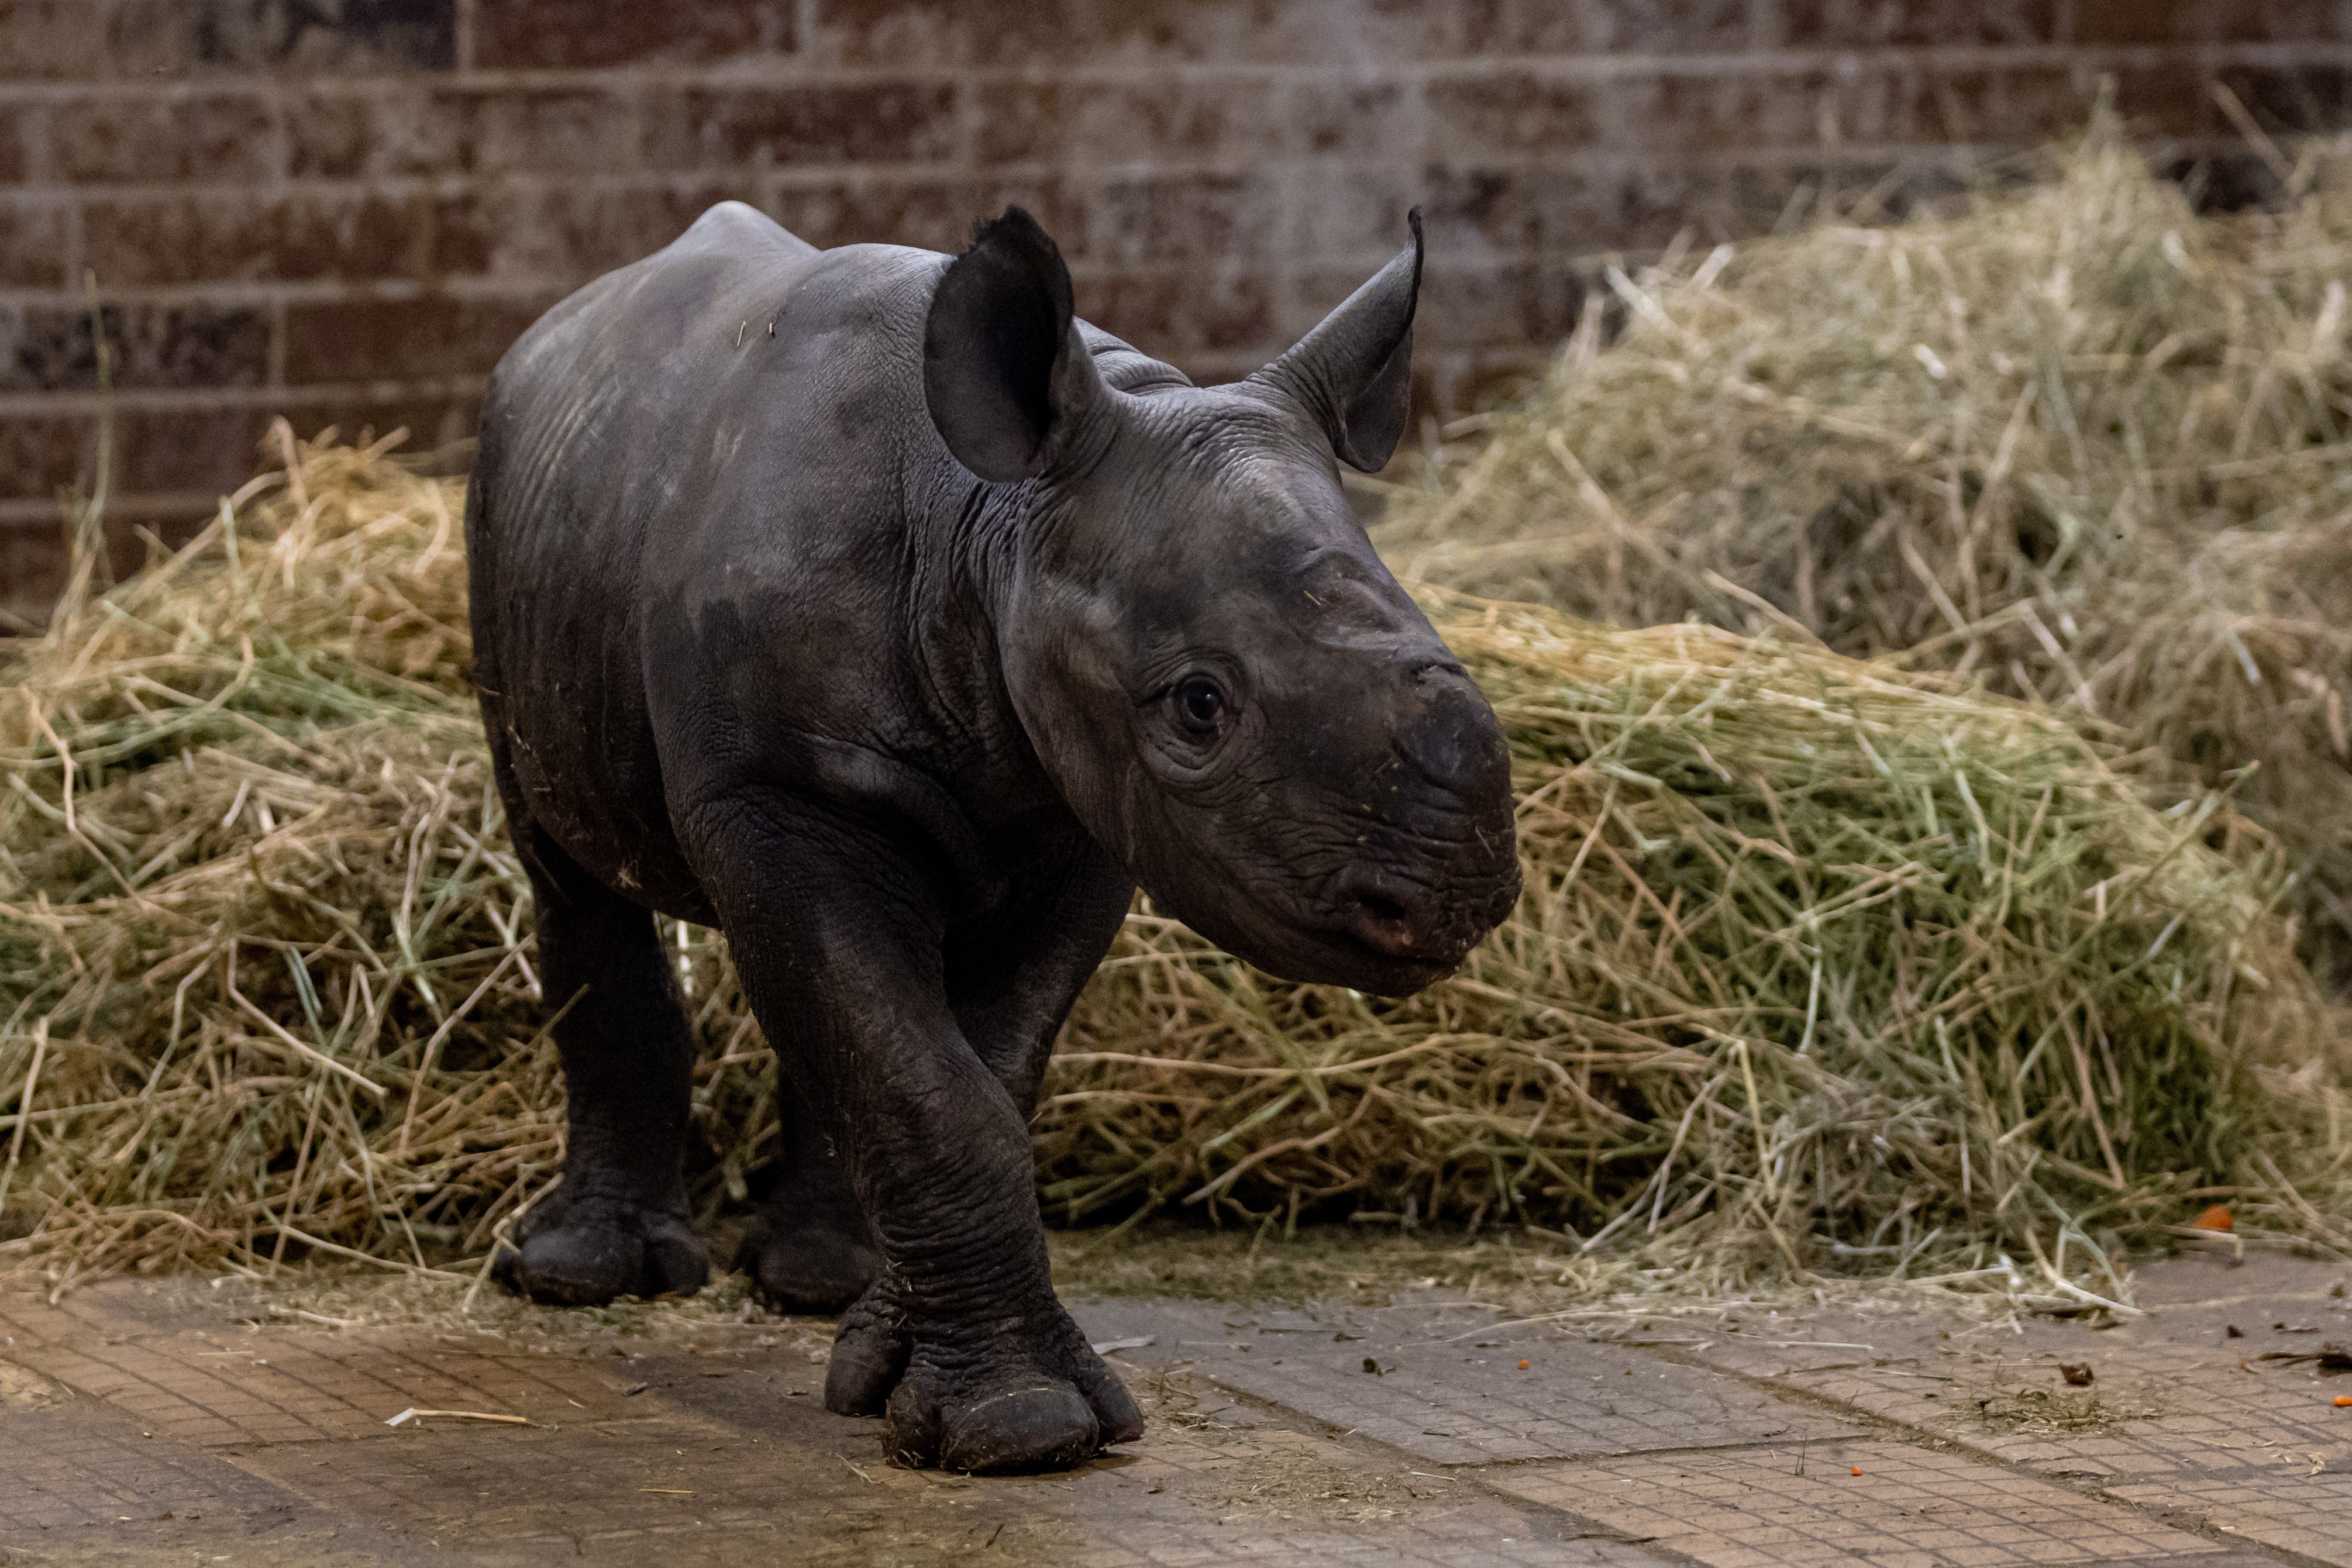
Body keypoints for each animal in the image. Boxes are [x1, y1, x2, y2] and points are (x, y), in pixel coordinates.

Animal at [465, 202, 1520, 1473]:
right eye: (1198, 707)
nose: (1457, 895)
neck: (986, 529)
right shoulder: (777, 792)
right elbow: (928, 1081)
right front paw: (1015, 1430)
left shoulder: (1082, 817)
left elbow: (975, 1072)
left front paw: (896, 1368)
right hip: (501, 514)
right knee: (568, 866)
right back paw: (580, 1279)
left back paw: (818, 1280)